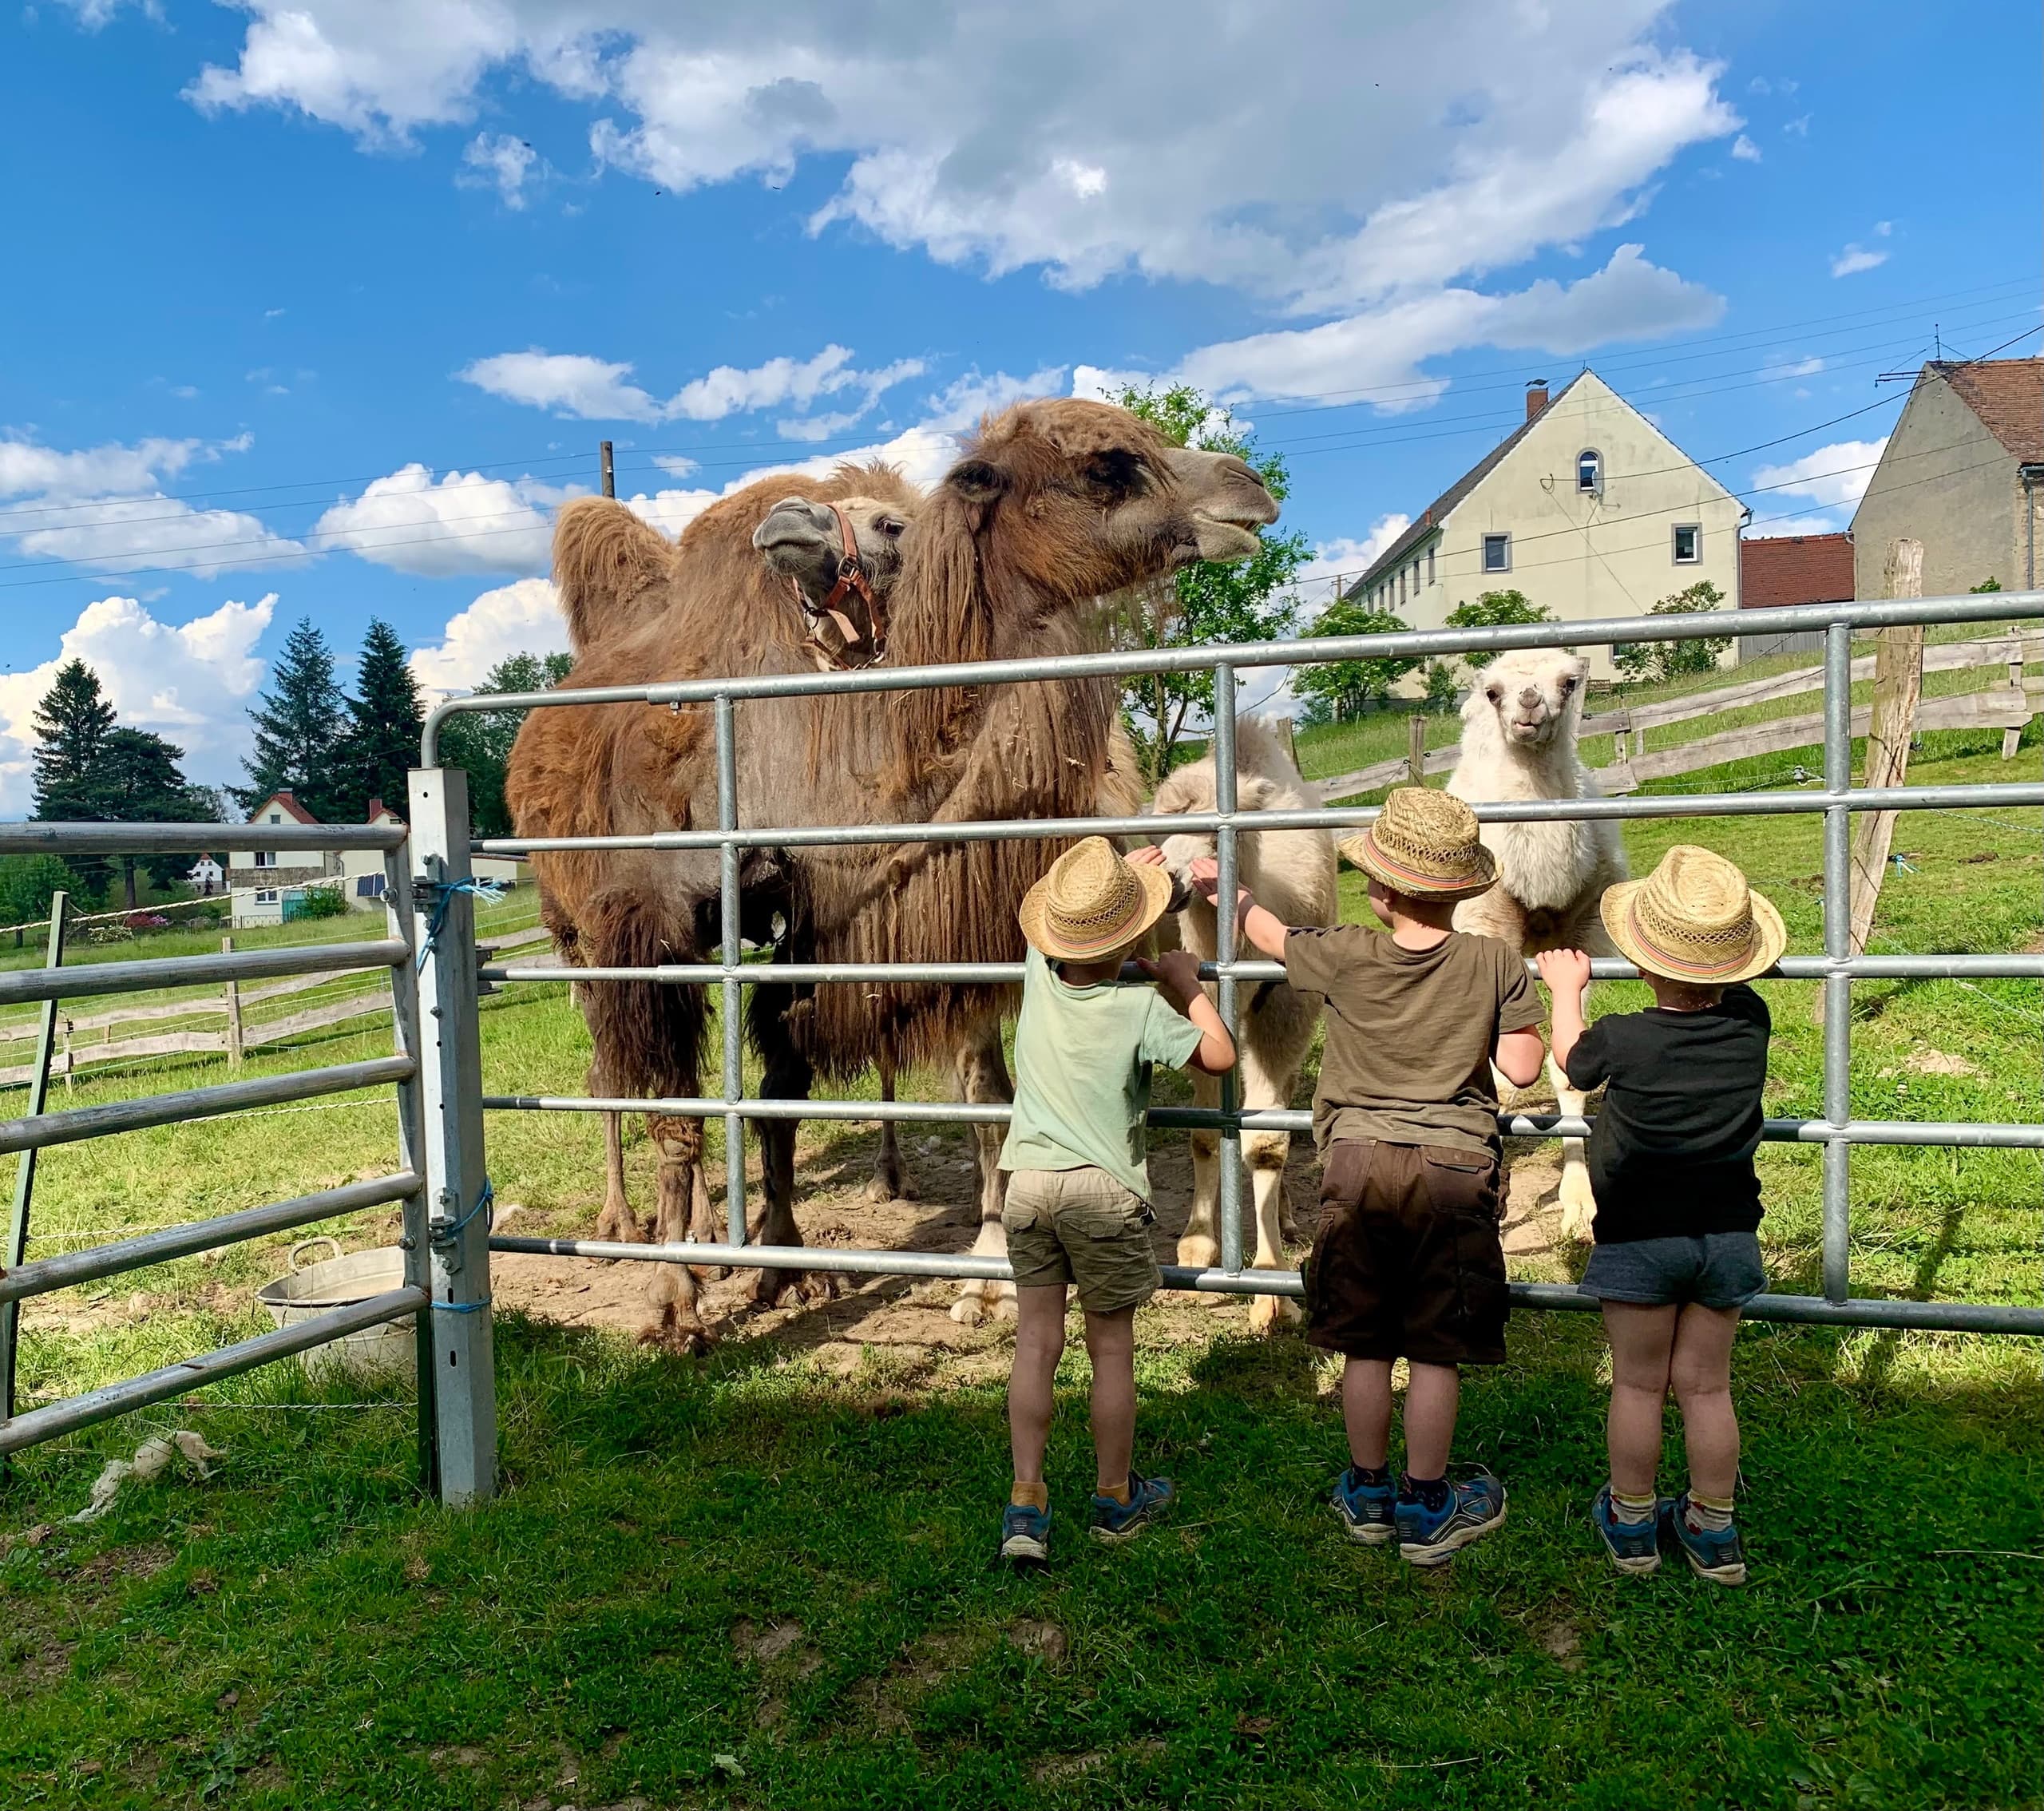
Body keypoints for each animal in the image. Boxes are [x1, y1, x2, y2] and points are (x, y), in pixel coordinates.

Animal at [506, 399, 1278, 1348]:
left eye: (896, 524)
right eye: (1109, 465)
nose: (1250, 488)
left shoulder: (819, 919)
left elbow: (789, 1086)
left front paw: (785, 1266)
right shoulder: (651, 928)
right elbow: (677, 1121)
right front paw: (673, 1306)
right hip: (570, 930)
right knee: (610, 1079)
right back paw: (633, 1227)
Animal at [1151, 715, 1338, 1333]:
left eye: (1215, 838)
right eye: (1160, 830)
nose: (1171, 881)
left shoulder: (1286, 1012)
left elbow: (1266, 1146)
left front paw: (1271, 1290)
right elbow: (1207, 1132)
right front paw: (1197, 1245)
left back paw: (1285, 1220)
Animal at [1447, 648, 1628, 1242]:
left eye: (1569, 683)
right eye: (1494, 692)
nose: (1528, 704)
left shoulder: (1584, 939)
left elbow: (1567, 1067)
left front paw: (1579, 1206)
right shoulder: (1486, 927)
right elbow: (1497, 1078)